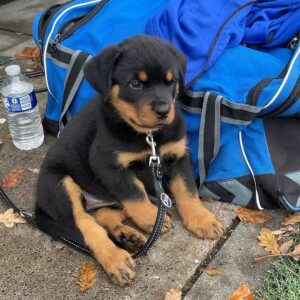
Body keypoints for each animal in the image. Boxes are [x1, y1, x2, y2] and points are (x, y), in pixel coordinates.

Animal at [35, 35, 224, 286]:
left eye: (171, 82)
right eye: (135, 84)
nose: (164, 110)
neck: (149, 135)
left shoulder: (179, 155)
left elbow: (188, 191)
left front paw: (202, 220)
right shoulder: (107, 164)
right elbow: (135, 192)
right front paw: (152, 217)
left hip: (103, 200)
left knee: (103, 216)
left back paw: (128, 236)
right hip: (60, 184)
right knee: (87, 226)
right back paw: (116, 260)